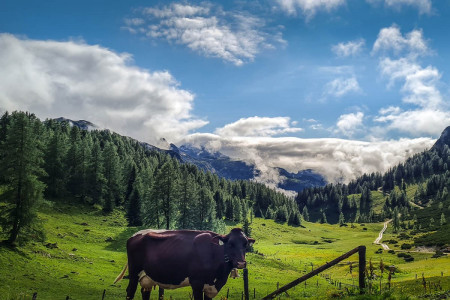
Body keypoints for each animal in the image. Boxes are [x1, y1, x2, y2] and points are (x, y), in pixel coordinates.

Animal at [114, 229, 255, 298]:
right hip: (134, 273)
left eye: (245, 244)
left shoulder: (211, 287)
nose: (241, 263)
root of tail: (135, 235)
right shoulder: (197, 283)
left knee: (145, 293)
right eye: (230, 244)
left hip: (147, 278)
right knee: (130, 292)